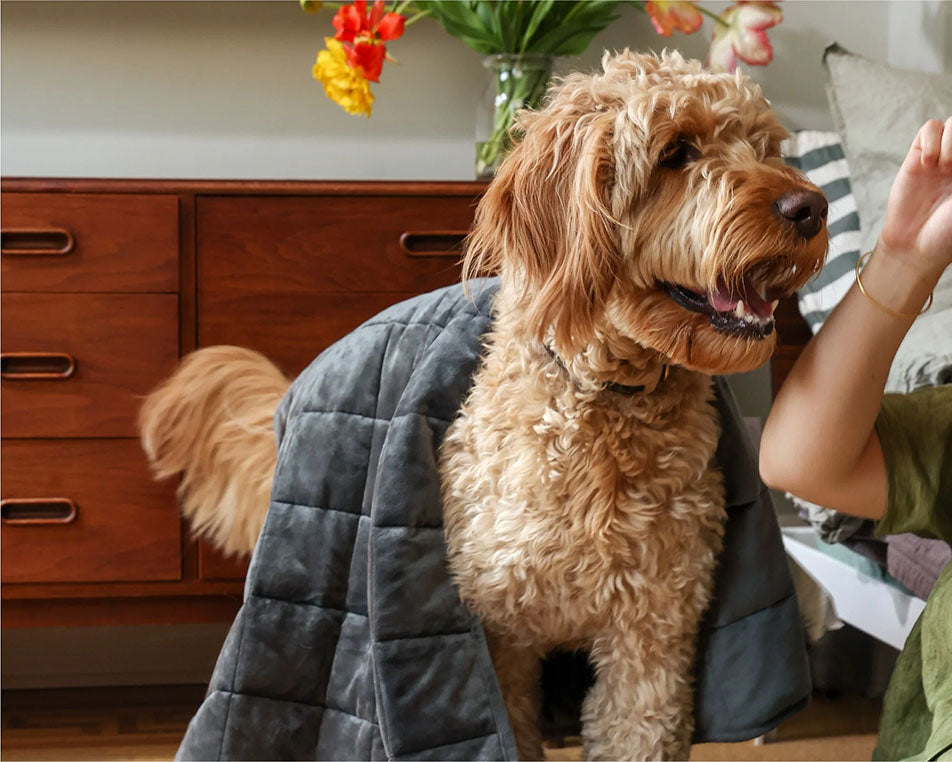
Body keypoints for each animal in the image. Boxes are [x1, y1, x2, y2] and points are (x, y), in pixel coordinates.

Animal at [139, 50, 824, 756]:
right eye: (677, 152)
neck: (603, 404)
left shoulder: (653, 637)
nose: (811, 207)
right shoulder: (497, 634)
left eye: (767, 147)